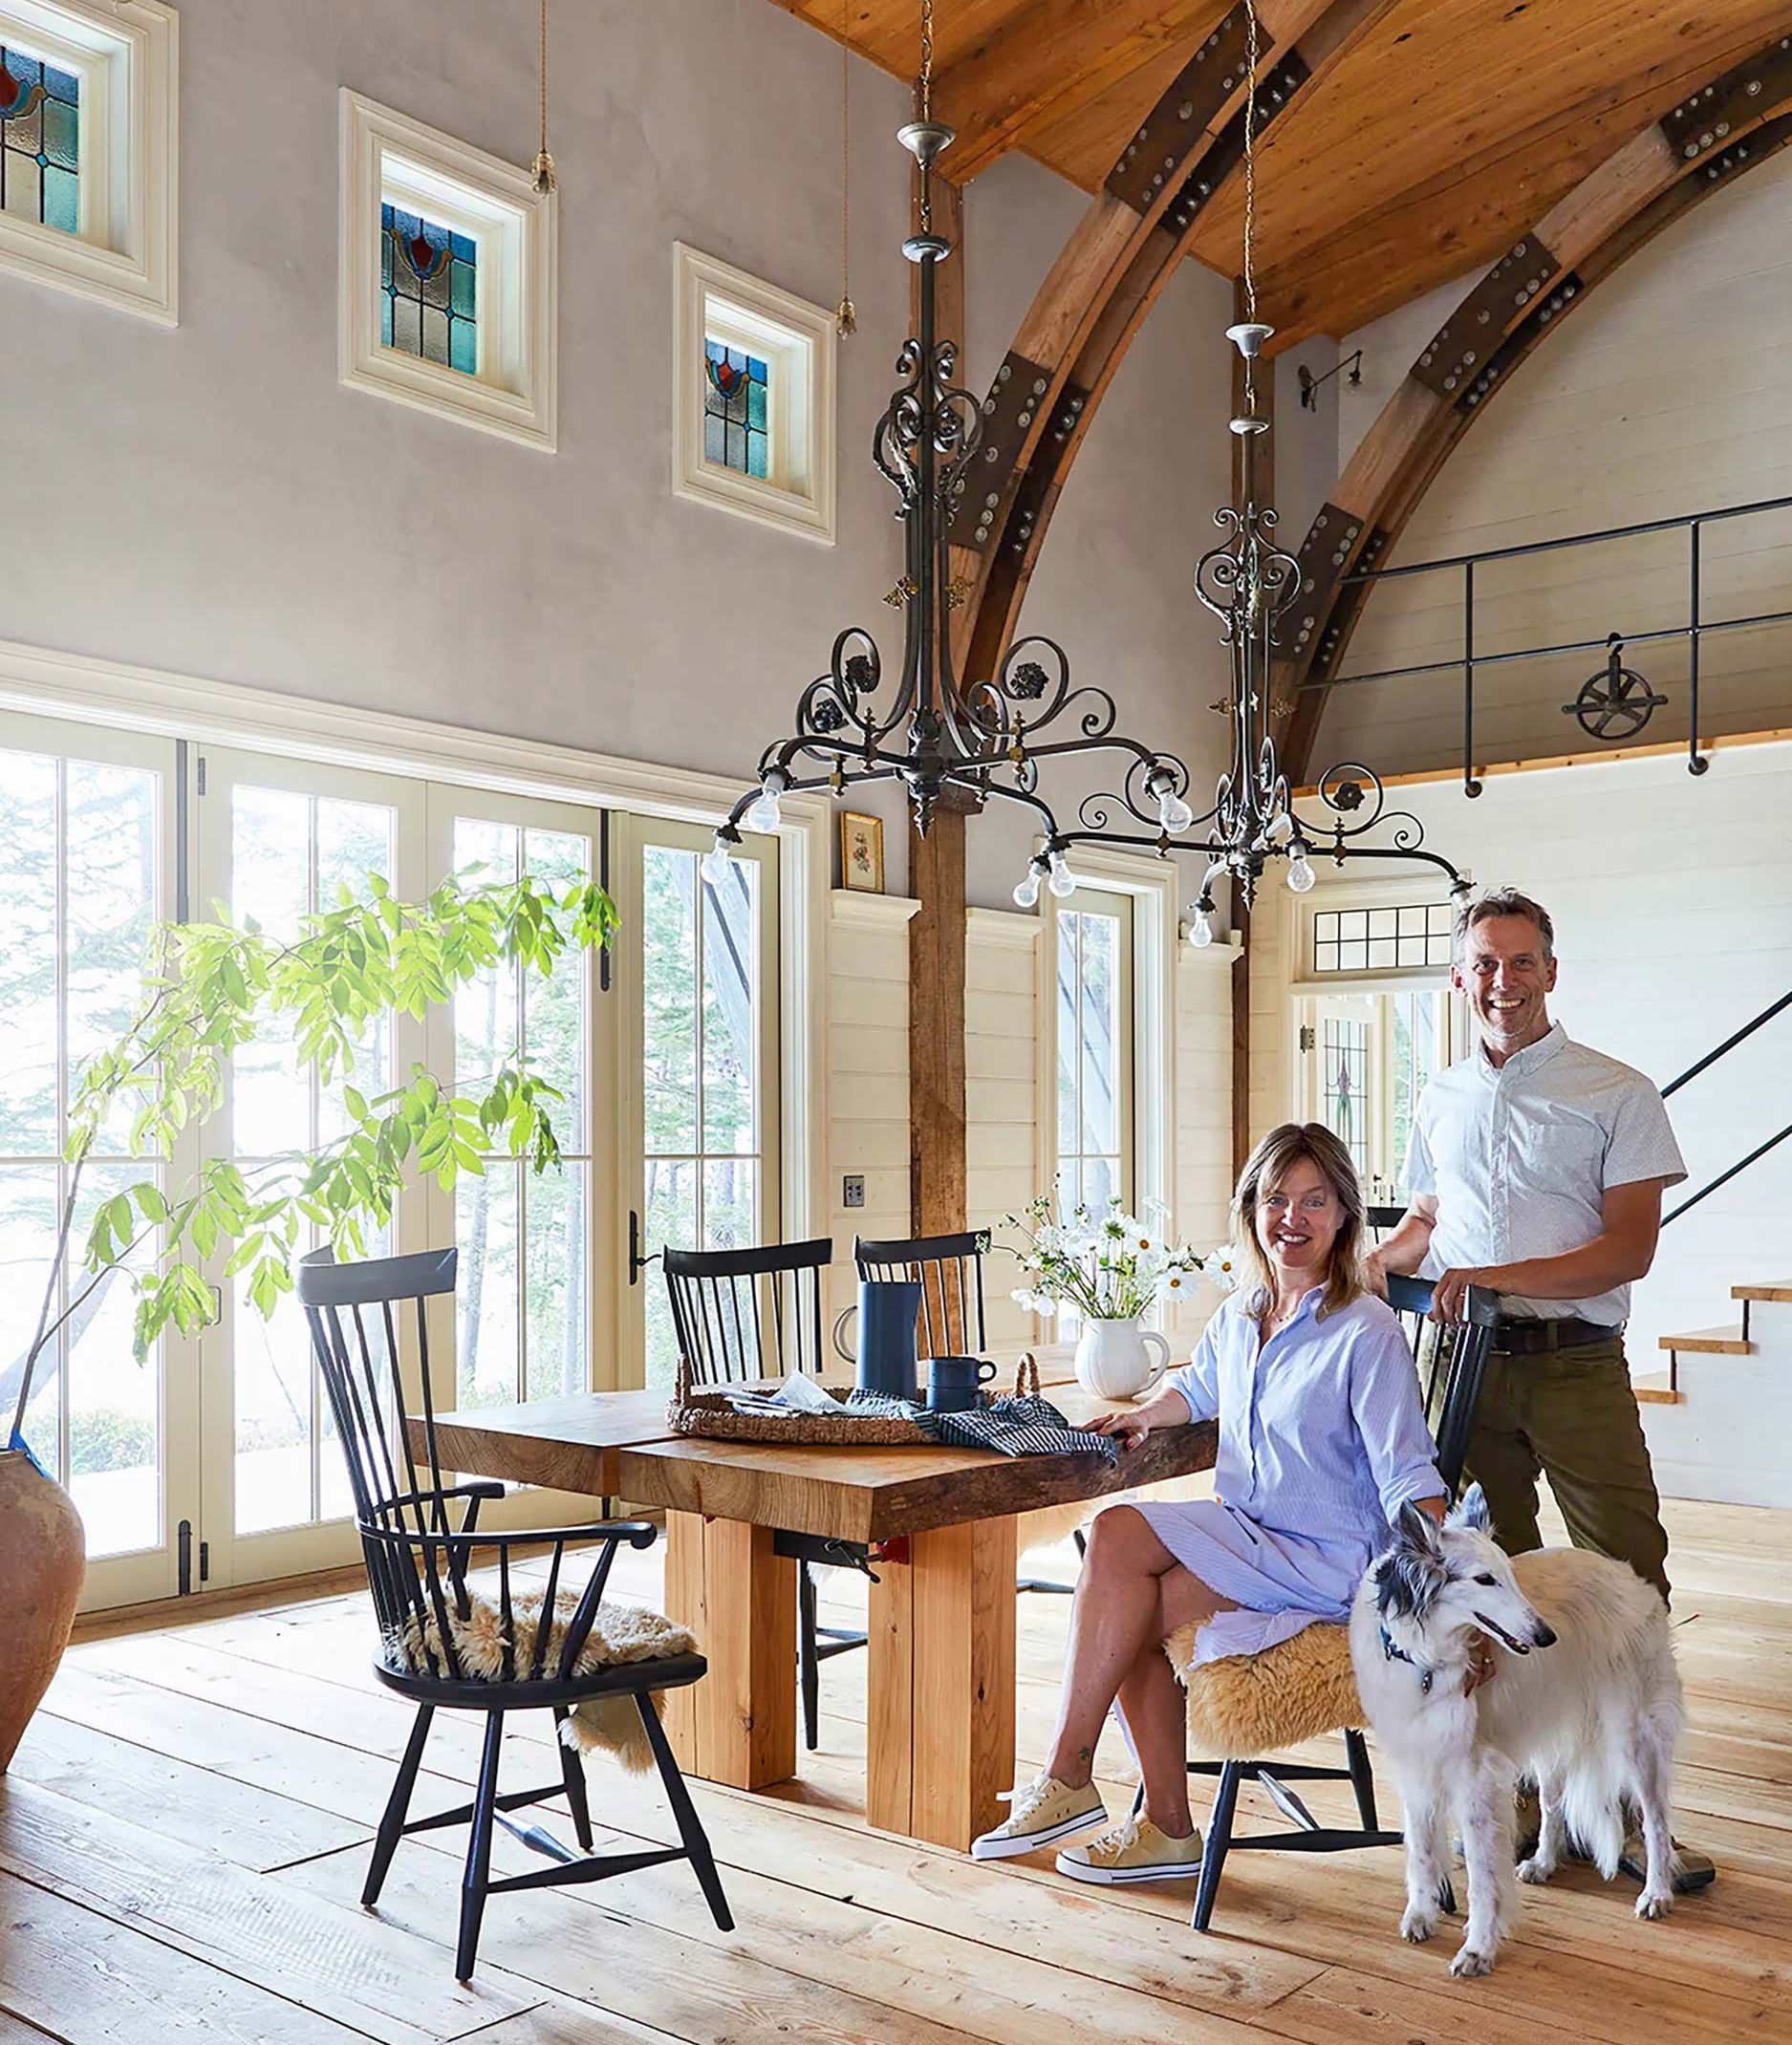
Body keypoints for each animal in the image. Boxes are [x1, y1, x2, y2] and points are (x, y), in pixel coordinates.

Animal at [1349, 1496, 1685, 1970]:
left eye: (1508, 1573)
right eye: (1484, 1579)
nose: (1546, 1636)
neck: (1425, 1661)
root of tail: (1627, 1576)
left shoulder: (1474, 1777)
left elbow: (1482, 1876)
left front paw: (1478, 1948)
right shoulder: (1415, 1764)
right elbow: (1420, 1849)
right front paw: (1421, 1914)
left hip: (1632, 1736)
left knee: (1655, 1820)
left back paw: (1656, 1892)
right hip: (1551, 1741)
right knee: (1552, 1806)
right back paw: (1543, 1862)